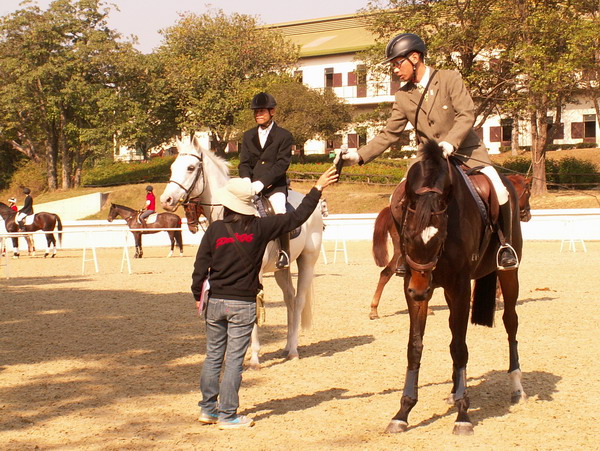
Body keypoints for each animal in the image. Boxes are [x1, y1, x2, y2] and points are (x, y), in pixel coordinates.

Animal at [159, 139, 324, 370]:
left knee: (299, 300)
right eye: (173, 167)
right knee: (290, 299)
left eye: (190, 168)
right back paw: (286, 346)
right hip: (282, 268)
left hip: (307, 260)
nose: (166, 200)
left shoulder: (255, 274)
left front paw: (254, 358)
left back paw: (293, 351)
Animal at [382, 143, 528, 436]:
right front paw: (403, 412)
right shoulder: (414, 285)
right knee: (453, 330)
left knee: (510, 322)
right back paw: (453, 389)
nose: (419, 292)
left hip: (508, 274)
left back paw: (516, 386)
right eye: (406, 236)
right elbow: (415, 346)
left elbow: (460, 347)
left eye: (440, 238)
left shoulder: (459, 286)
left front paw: (463, 415)